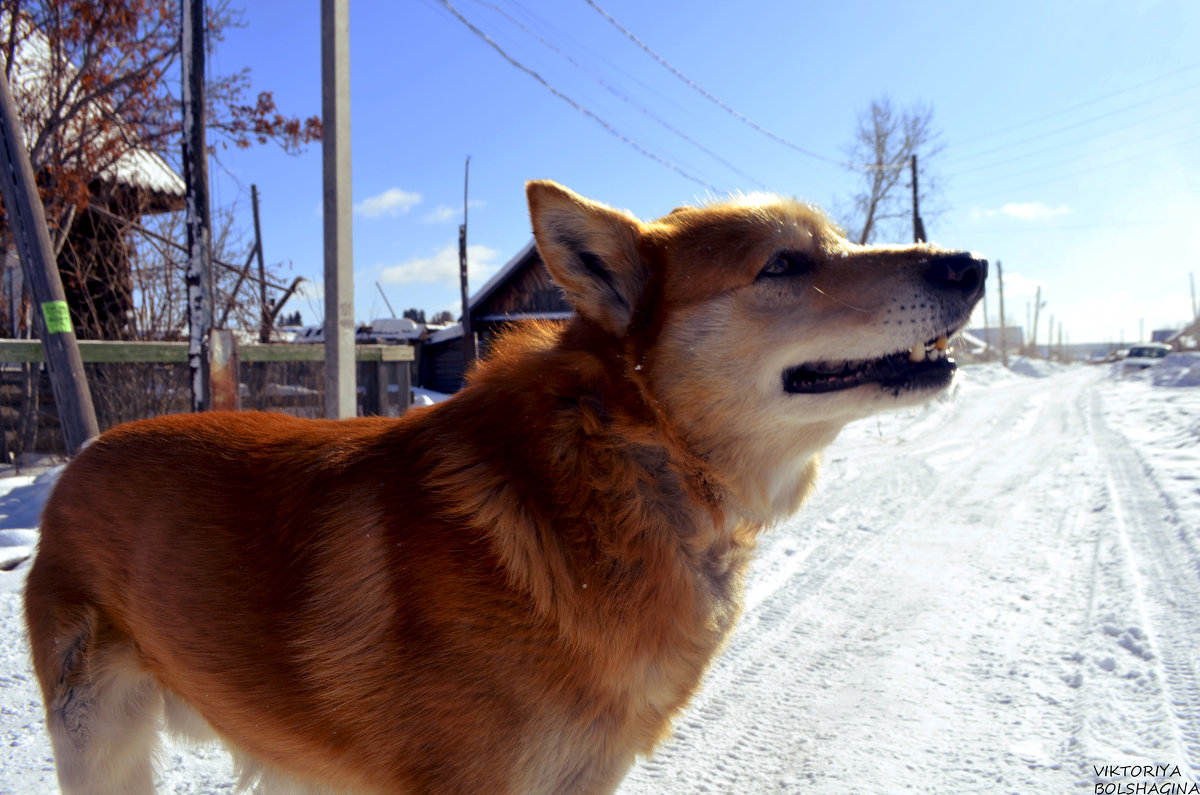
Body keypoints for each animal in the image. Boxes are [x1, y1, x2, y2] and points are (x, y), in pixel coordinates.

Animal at [23, 183, 988, 792]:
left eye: (840, 241)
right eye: (784, 266)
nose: (970, 265)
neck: (622, 472)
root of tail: (85, 454)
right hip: (101, 745)